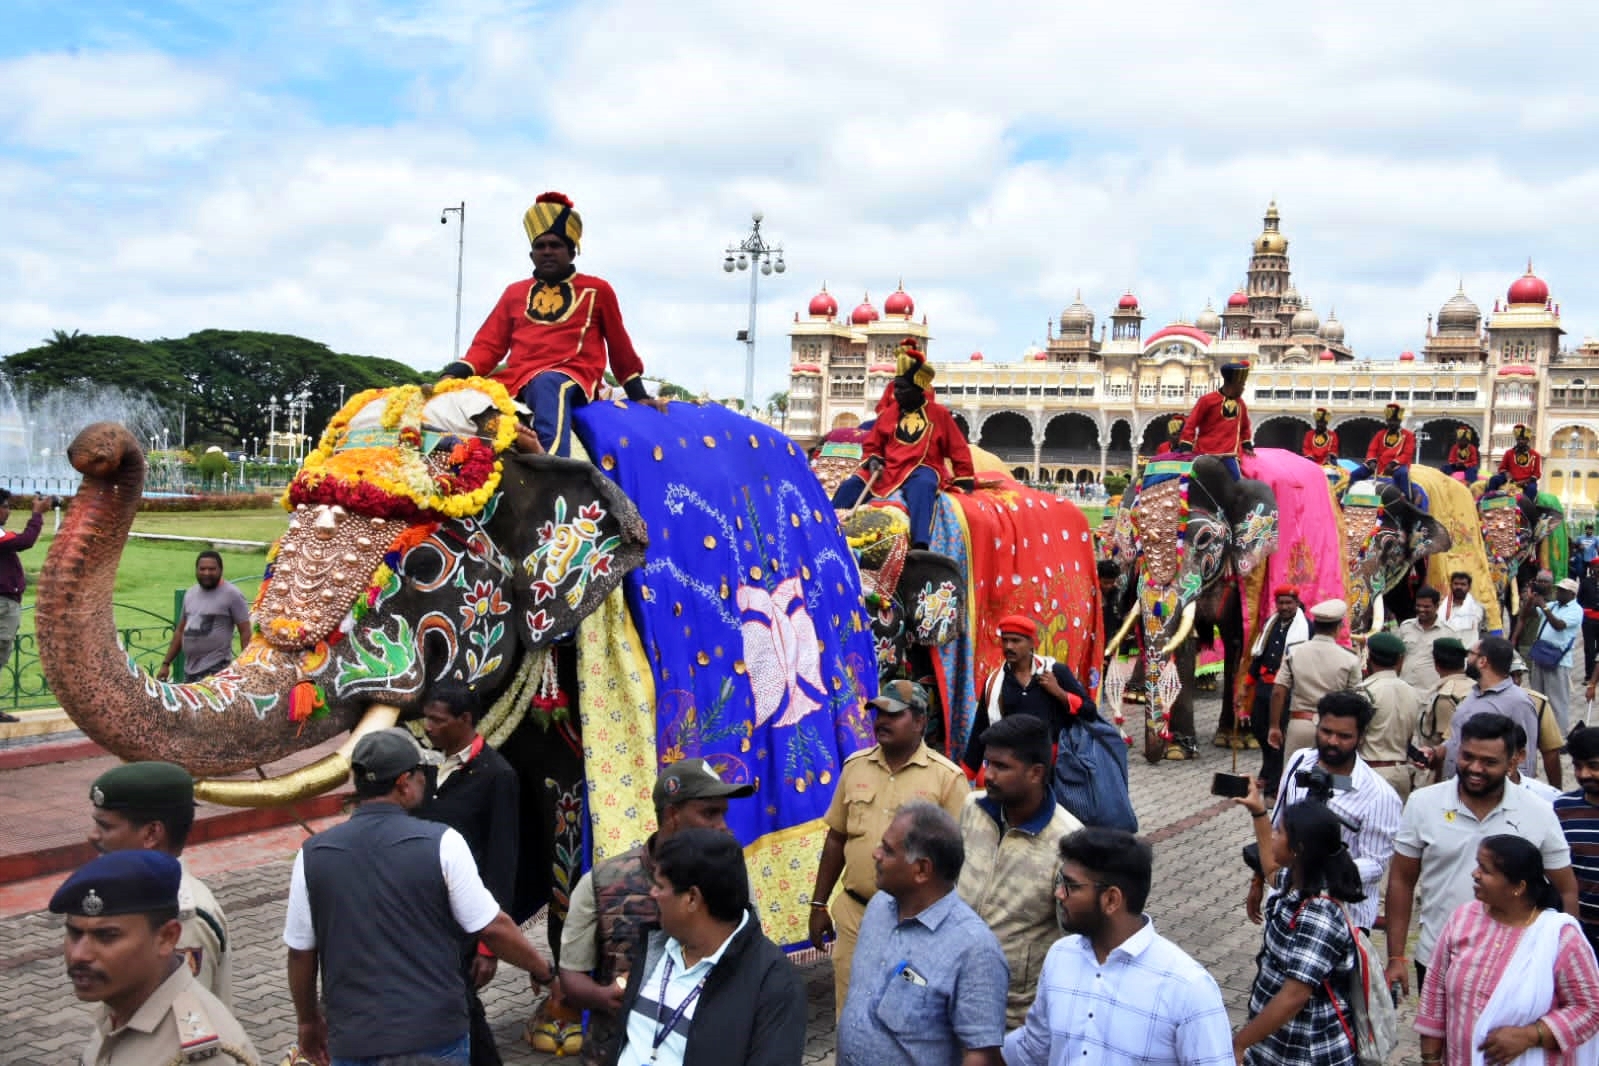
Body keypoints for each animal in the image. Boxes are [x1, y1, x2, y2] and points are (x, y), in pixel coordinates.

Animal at [40, 383, 876, 958]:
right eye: (273, 559)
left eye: (420, 568)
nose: (96, 446)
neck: (530, 453)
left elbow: (569, 820)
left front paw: (557, 1028)